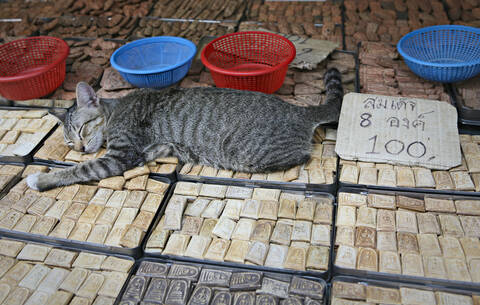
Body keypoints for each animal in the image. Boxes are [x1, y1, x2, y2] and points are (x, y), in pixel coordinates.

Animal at [26, 68, 344, 190]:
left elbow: (78, 171)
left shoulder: (119, 155)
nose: (78, 148)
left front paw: (41, 179)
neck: (116, 111)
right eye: (68, 142)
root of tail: (299, 109)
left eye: (81, 130)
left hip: (246, 153)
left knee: (303, 155)